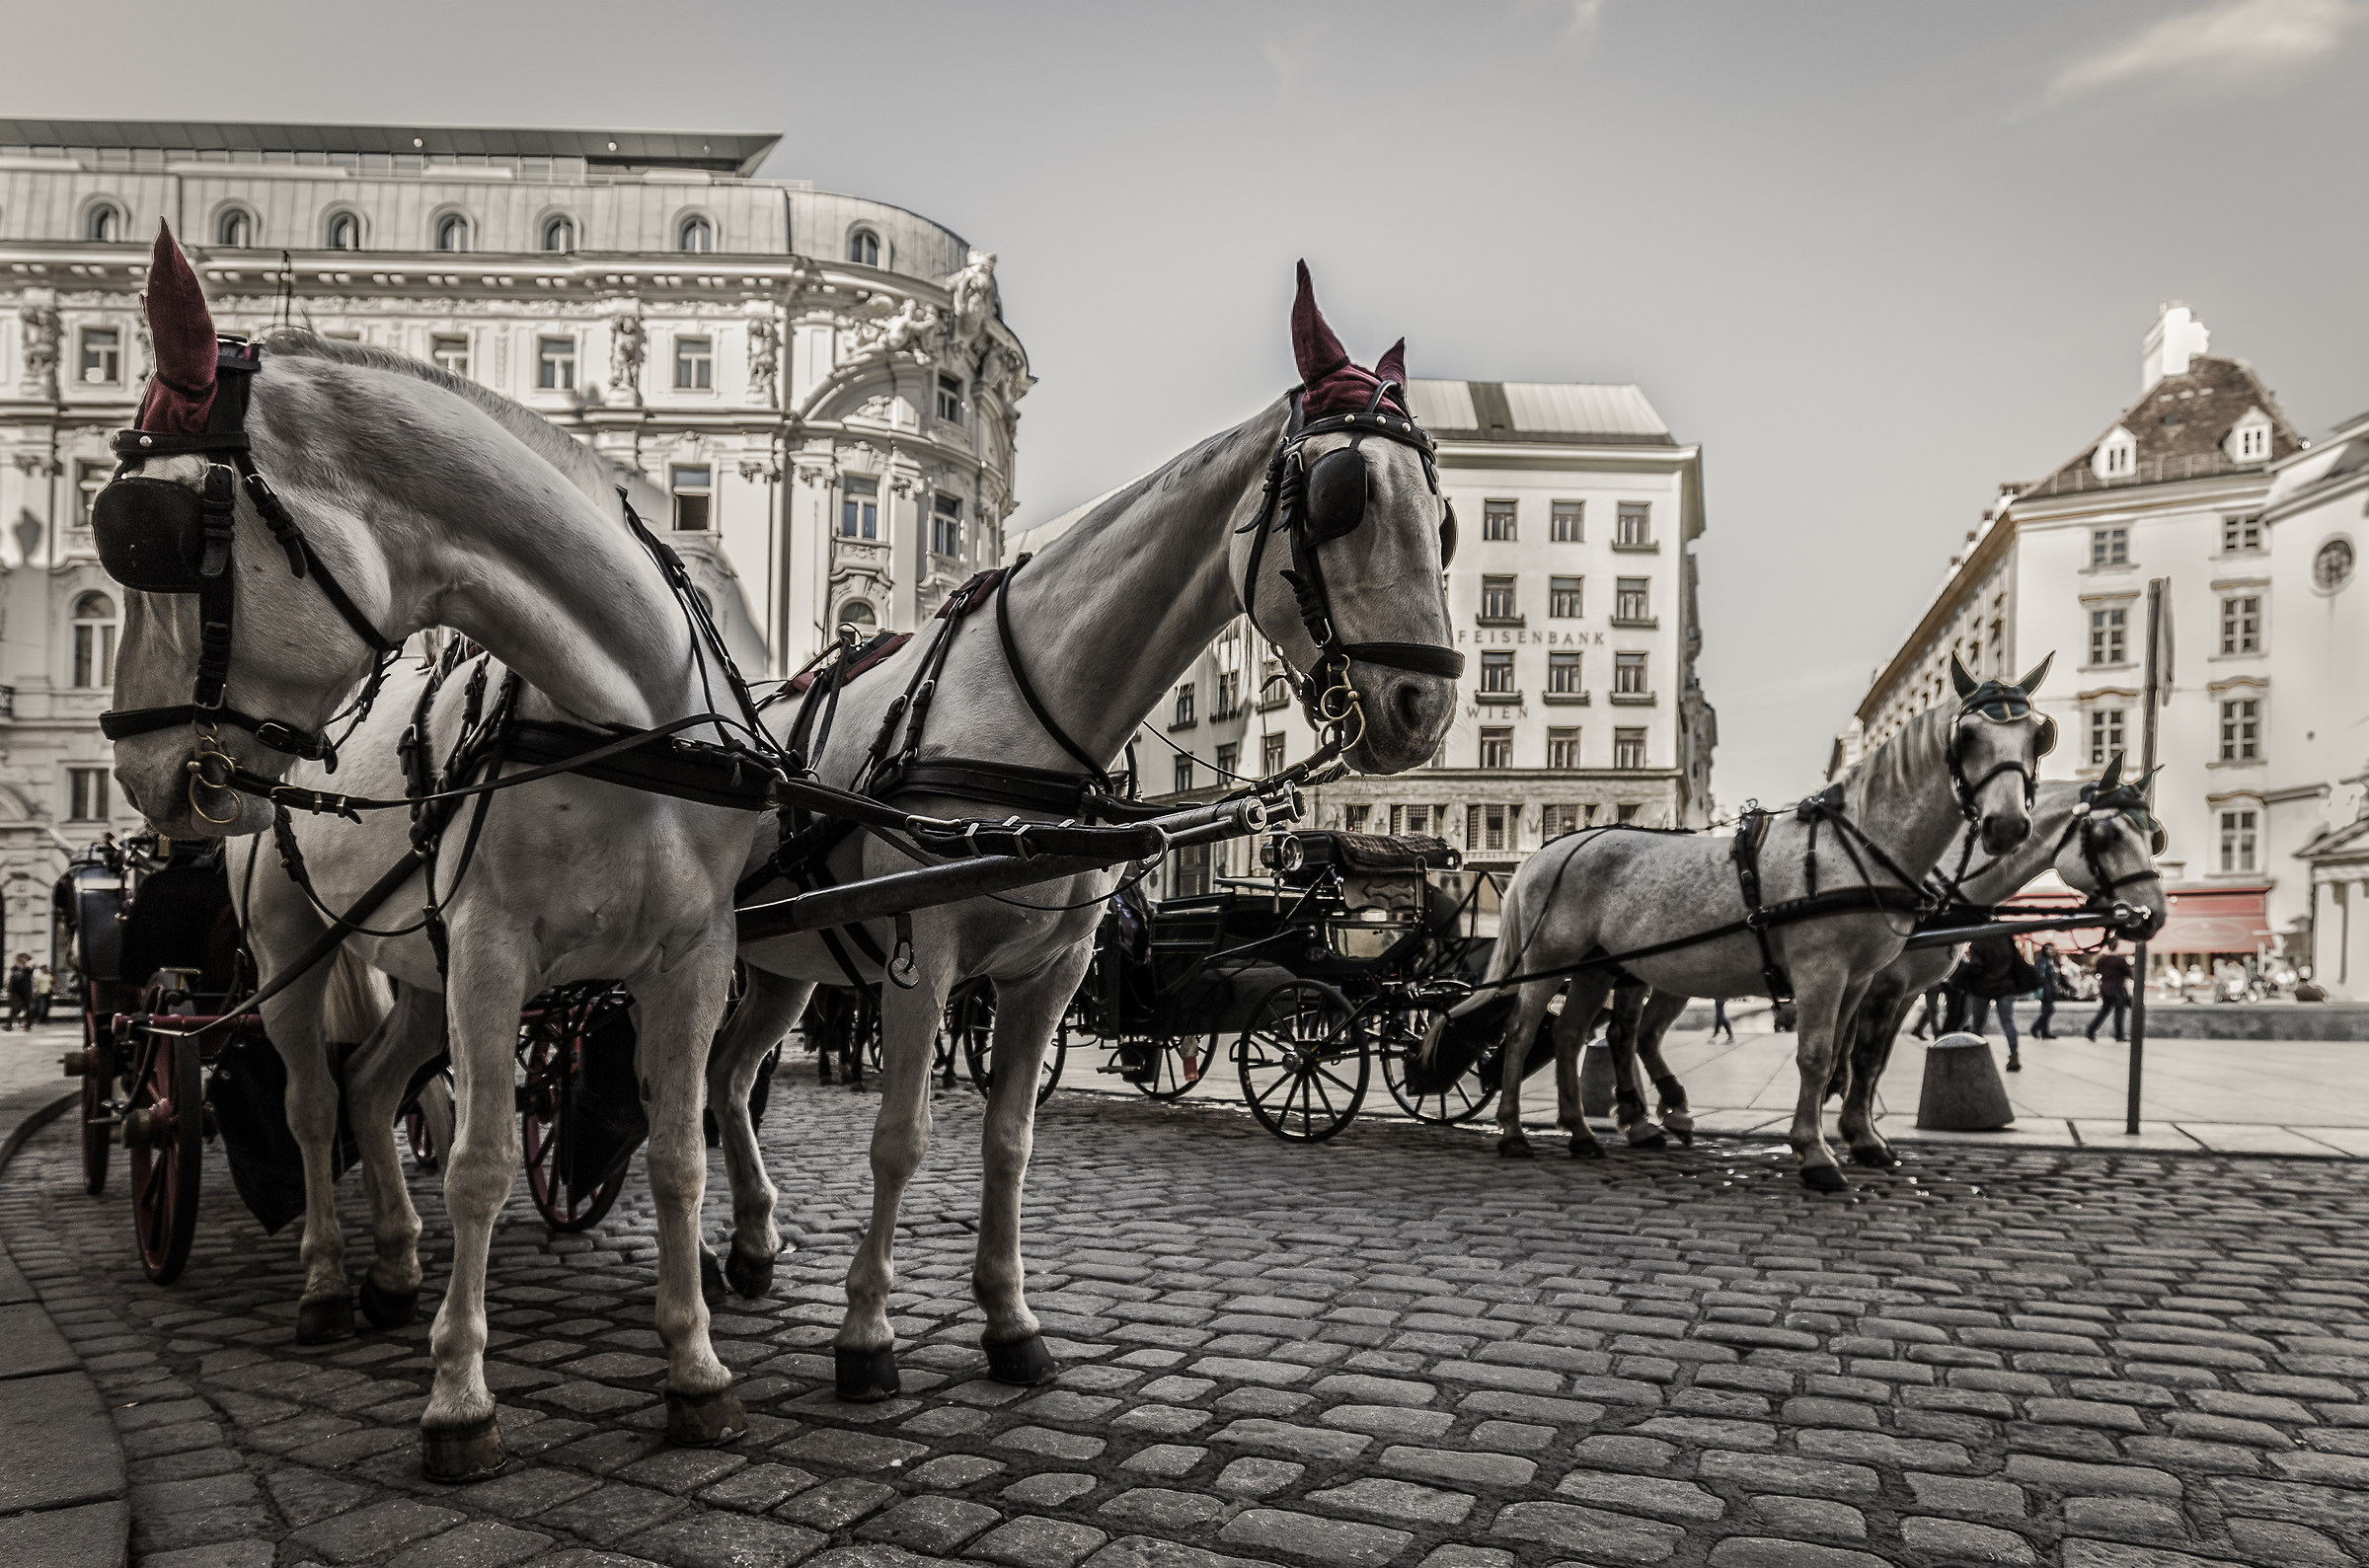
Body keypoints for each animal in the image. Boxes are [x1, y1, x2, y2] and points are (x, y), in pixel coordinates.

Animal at [99, 225, 761, 1481]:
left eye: (147, 536)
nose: (138, 768)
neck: (626, 721)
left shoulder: (692, 961)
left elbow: (676, 1151)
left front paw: (696, 1367)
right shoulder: (495, 954)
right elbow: (481, 1162)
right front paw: (460, 1395)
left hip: (412, 966)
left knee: (369, 1086)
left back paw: (395, 1266)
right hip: (293, 953)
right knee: (314, 1102)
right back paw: (323, 1277)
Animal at [1471, 655, 2057, 1190]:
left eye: (2038, 735)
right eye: (1969, 735)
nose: (2008, 826)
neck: (1858, 846)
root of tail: (1550, 850)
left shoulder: (1860, 980)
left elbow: (1846, 1057)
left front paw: (1856, 1140)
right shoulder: (1823, 970)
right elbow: (1817, 1057)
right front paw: (1815, 1154)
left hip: (1598, 967)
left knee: (1571, 1036)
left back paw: (1582, 1133)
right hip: (1551, 961)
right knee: (1524, 1034)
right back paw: (1514, 1132)